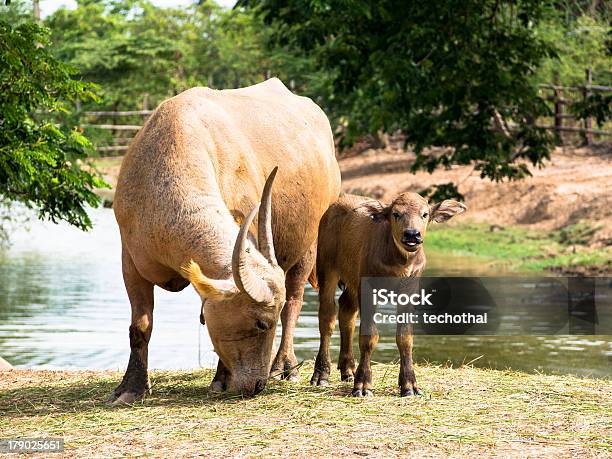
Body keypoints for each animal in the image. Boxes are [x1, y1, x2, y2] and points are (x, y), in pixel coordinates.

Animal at [112, 80, 342, 402]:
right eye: (261, 323)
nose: (257, 386)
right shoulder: (130, 260)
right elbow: (141, 325)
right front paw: (131, 387)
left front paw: (221, 379)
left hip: (310, 246)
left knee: (296, 303)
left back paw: (292, 368)